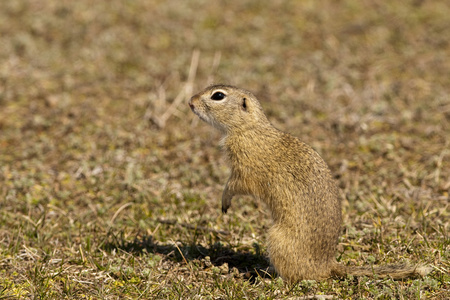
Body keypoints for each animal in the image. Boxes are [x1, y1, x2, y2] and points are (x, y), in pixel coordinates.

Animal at [188, 85, 430, 284]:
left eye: (218, 95)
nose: (190, 102)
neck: (249, 128)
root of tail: (328, 265)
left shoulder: (243, 169)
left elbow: (234, 185)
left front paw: (224, 202)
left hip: (277, 240)